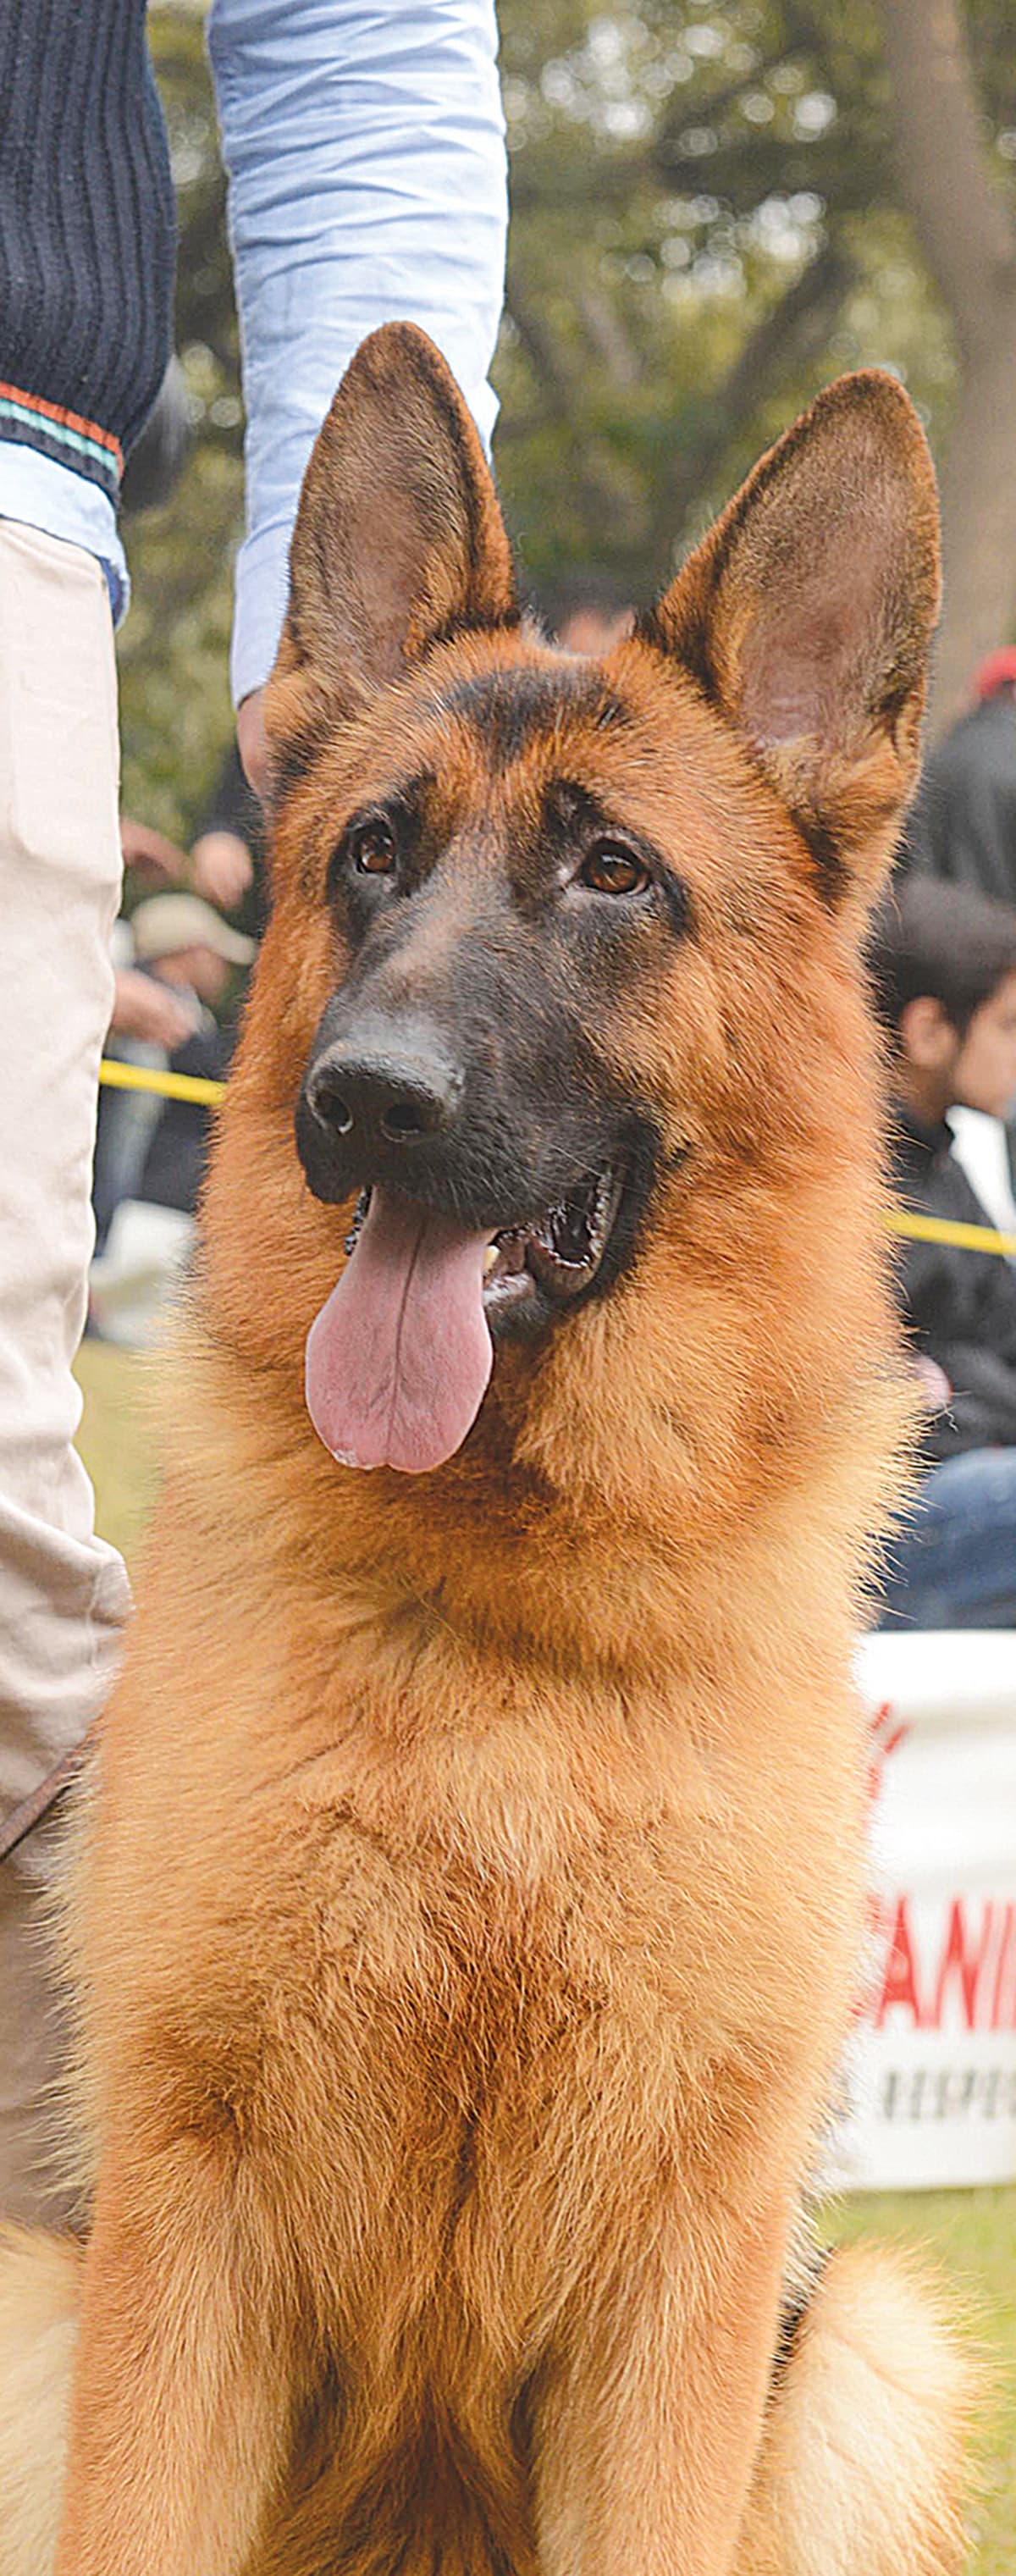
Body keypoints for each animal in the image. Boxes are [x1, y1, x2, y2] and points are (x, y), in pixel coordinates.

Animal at [0, 332, 975, 2565]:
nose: (363, 1099)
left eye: (611, 873)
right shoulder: (180, 2258)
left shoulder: (683, 2306)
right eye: (371, 853)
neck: (509, 1598)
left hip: (862, 2349)